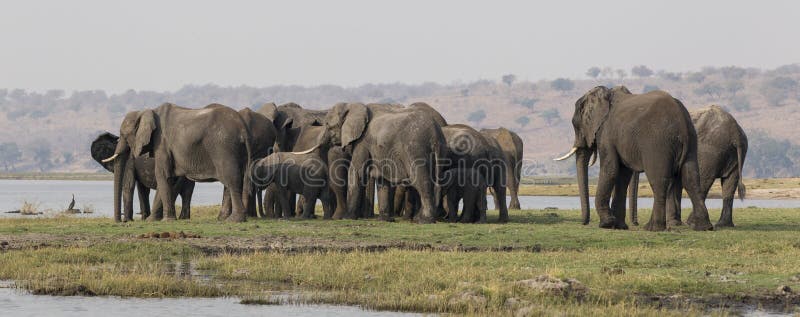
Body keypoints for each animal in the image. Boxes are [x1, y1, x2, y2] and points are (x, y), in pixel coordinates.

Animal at [100, 102, 255, 221]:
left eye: (123, 135)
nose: (120, 222)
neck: (146, 111)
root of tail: (243, 128)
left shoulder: (162, 142)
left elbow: (162, 175)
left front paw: (165, 220)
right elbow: (168, 178)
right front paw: (153, 220)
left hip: (223, 147)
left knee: (231, 179)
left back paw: (234, 220)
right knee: (235, 180)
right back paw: (227, 219)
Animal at [556, 85, 712, 231]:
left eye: (576, 125)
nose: (584, 222)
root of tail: (681, 121)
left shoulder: (606, 132)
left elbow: (610, 169)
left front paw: (606, 224)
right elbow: (623, 175)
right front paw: (619, 226)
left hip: (658, 143)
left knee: (658, 181)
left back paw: (653, 228)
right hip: (692, 140)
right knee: (691, 178)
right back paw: (703, 227)